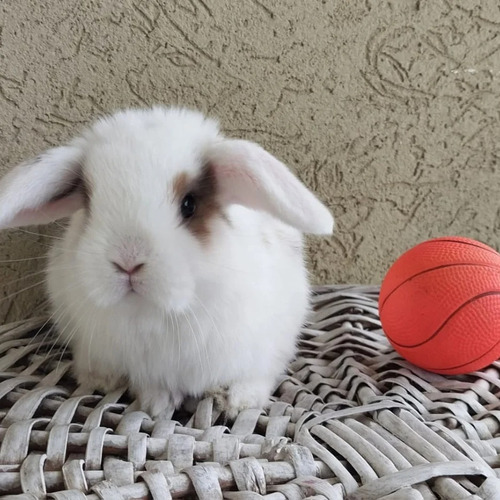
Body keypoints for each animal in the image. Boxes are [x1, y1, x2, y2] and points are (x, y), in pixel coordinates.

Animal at [0, 108, 334, 418]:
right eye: (89, 204)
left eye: (189, 204)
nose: (128, 262)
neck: (161, 314)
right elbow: (153, 387)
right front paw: (157, 405)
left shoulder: (265, 348)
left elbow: (256, 378)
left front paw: (238, 402)